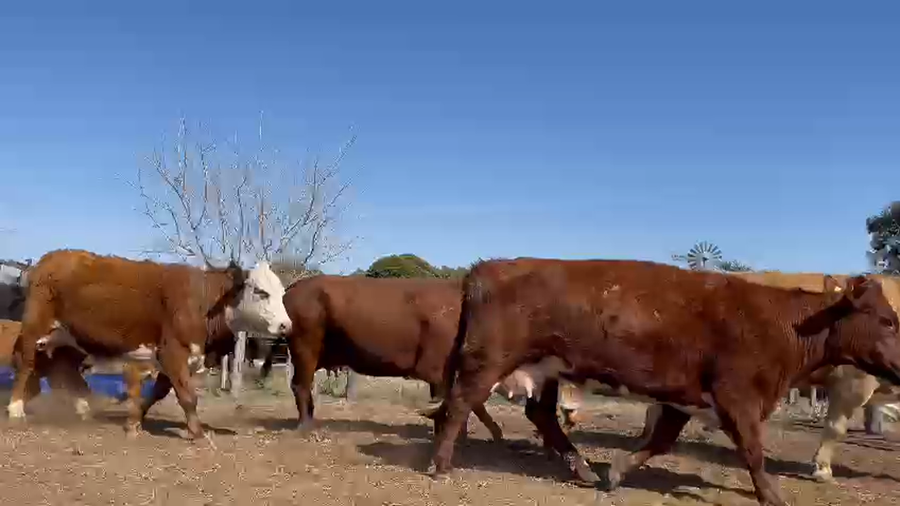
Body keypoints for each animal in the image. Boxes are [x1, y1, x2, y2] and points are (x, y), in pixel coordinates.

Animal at [8, 249, 292, 440]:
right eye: (261, 292)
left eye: (282, 293)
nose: (285, 325)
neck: (203, 301)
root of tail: (49, 259)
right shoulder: (172, 352)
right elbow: (187, 396)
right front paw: (197, 433)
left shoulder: (176, 358)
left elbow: (159, 392)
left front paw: (134, 421)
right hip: (35, 327)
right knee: (26, 364)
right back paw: (15, 409)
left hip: (68, 338)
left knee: (63, 370)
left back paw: (83, 408)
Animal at [427, 258, 900, 506]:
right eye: (887, 320)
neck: (782, 323)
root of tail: (489, 266)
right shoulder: (738, 397)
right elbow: (753, 452)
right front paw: (772, 496)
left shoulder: (683, 398)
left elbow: (661, 441)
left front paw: (616, 472)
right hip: (488, 360)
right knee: (460, 403)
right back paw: (441, 465)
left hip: (545, 368)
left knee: (540, 414)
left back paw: (582, 467)